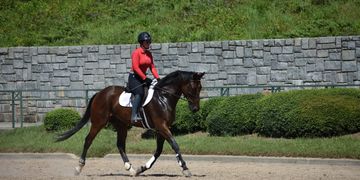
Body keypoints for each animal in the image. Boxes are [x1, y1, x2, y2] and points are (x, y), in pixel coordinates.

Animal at [55, 70, 204, 177]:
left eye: (200, 87)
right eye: (193, 87)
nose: (196, 109)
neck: (163, 97)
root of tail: (99, 93)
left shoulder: (161, 128)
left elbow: (158, 151)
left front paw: (142, 168)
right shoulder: (162, 127)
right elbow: (175, 145)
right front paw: (185, 168)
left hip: (121, 125)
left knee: (120, 145)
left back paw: (131, 169)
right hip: (99, 122)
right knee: (88, 140)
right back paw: (78, 167)